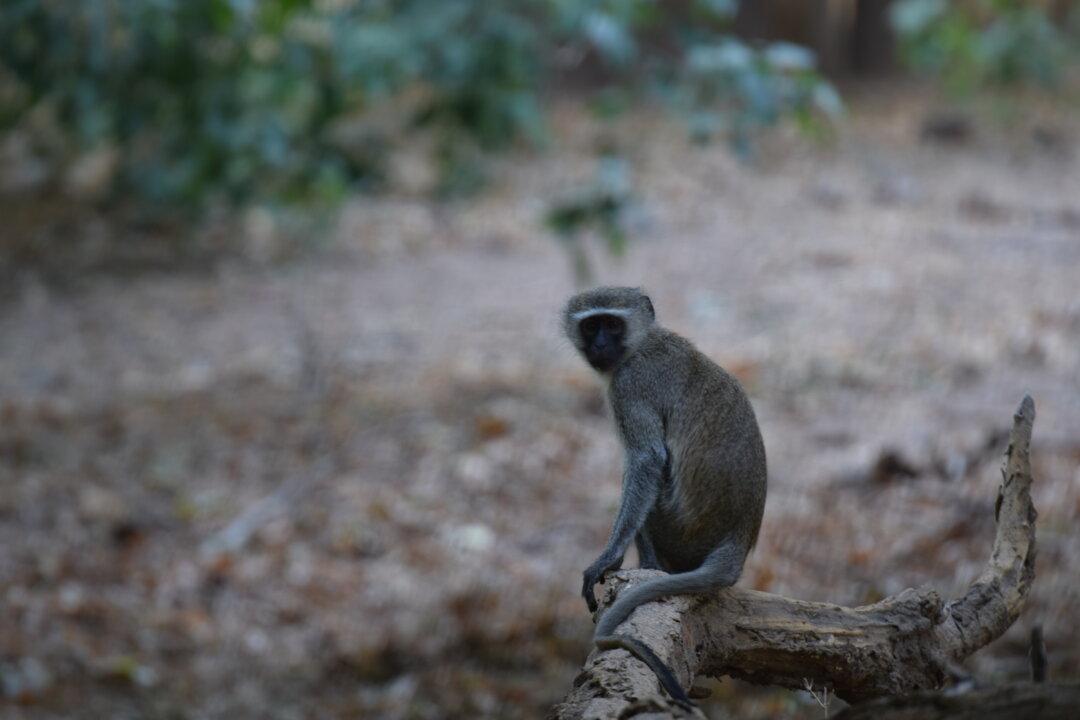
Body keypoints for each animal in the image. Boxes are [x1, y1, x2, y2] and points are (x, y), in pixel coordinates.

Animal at [563, 286, 767, 709]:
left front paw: (607, 559)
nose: (601, 344)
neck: (644, 341)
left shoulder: (629, 385)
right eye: (592, 326)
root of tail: (738, 539)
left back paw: (650, 566)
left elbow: (647, 459)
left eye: (611, 324)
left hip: (683, 528)